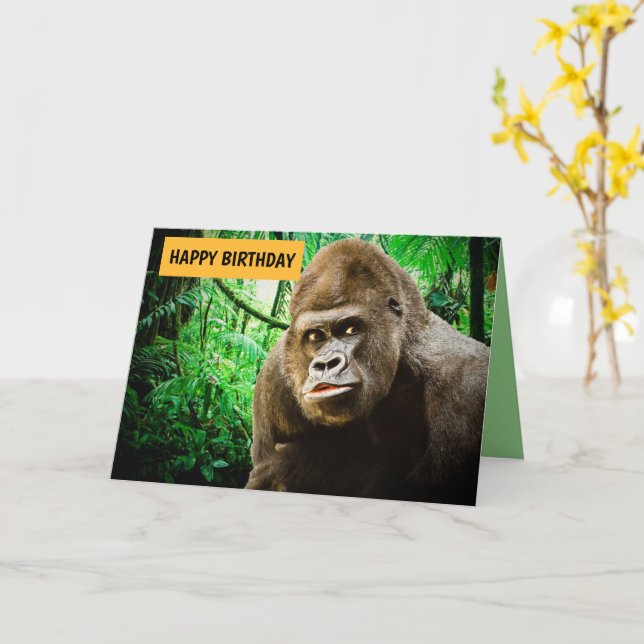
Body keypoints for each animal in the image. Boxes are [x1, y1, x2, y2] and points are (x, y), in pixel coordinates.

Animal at [245, 238, 490, 504]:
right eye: (314, 336)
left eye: (351, 329)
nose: (326, 364)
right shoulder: (274, 375)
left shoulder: (466, 385)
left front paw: (304, 464)